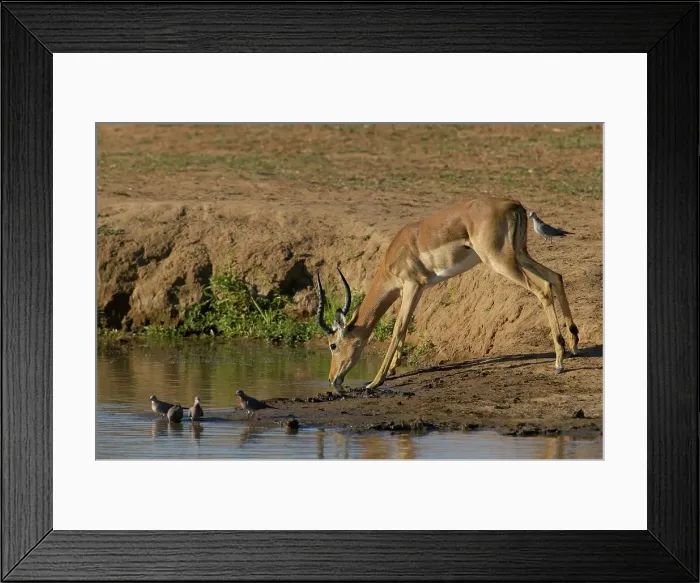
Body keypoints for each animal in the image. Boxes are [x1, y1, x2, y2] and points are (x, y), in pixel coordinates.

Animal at [315, 197, 579, 391]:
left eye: (333, 345)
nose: (331, 379)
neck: (399, 250)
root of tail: (513, 204)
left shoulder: (411, 286)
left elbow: (397, 328)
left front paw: (375, 382)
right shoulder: (418, 289)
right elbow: (406, 325)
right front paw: (393, 368)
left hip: (500, 261)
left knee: (542, 288)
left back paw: (559, 361)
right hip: (520, 254)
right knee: (555, 277)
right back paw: (574, 344)